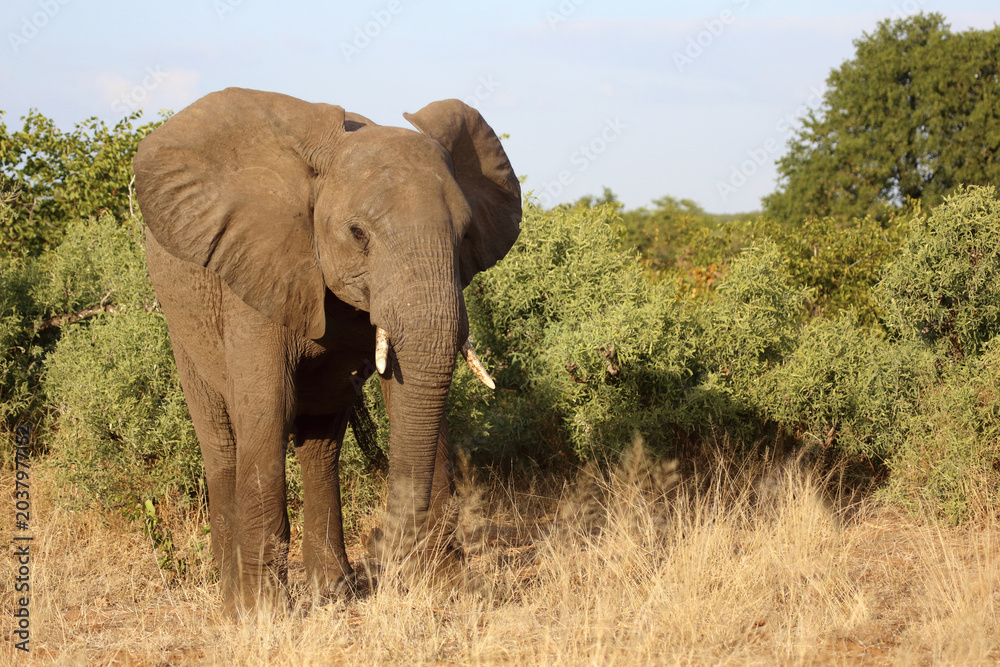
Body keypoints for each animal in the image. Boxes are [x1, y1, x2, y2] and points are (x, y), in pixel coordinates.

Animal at [132, 87, 520, 614]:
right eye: (358, 233)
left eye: (464, 236)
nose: (386, 545)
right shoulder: (256, 269)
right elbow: (267, 407)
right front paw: (256, 614)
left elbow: (408, 395)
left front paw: (449, 591)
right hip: (182, 324)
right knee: (221, 441)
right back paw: (228, 585)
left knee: (320, 442)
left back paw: (334, 591)